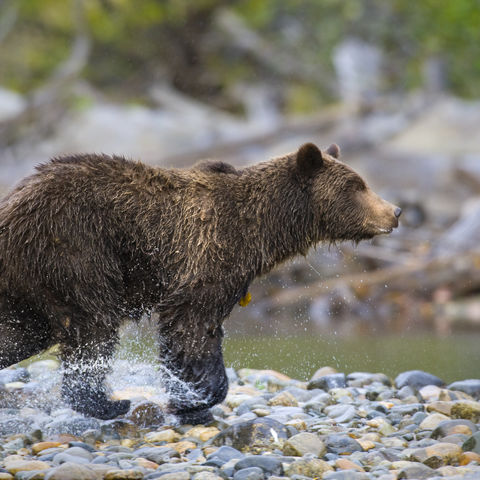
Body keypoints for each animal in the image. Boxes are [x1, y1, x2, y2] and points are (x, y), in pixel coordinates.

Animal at [0, 143, 400, 424]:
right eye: (357, 185)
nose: (395, 211)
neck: (262, 230)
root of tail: (12, 204)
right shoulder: (206, 256)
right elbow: (192, 327)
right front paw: (197, 397)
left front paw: (191, 402)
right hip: (72, 248)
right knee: (93, 325)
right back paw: (107, 403)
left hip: (26, 285)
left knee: (17, 334)